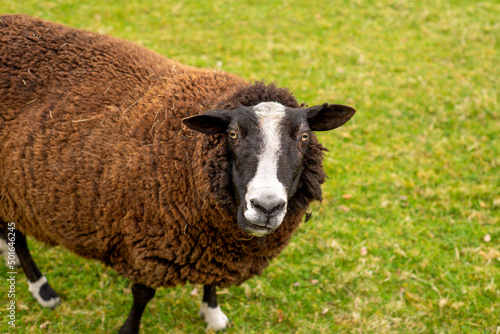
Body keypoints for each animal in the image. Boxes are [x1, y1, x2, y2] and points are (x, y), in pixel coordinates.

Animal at [0, 14, 356, 332]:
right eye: (232, 134)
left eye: (305, 137)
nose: (266, 207)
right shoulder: (145, 243)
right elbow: (142, 295)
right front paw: (129, 329)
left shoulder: (214, 245)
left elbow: (211, 281)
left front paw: (212, 314)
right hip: (12, 189)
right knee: (22, 238)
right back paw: (43, 290)